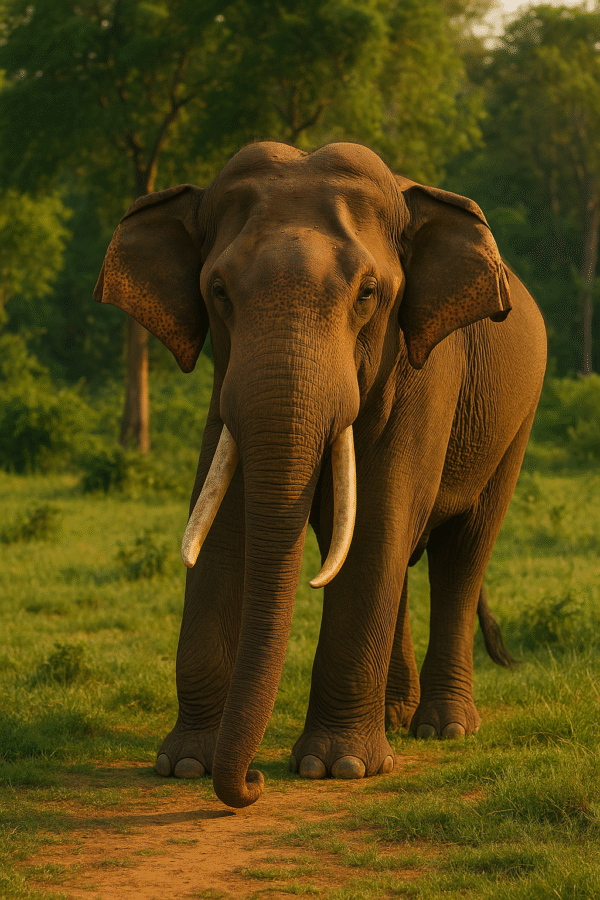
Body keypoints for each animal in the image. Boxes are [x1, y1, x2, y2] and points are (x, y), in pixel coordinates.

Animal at [94, 141, 546, 809]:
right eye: (218, 290)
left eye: (368, 293)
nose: (252, 782)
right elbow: (223, 526)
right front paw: (184, 765)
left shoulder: (427, 367)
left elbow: (382, 517)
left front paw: (337, 768)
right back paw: (394, 719)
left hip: (515, 422)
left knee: (462, 552)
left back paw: (443, 729)